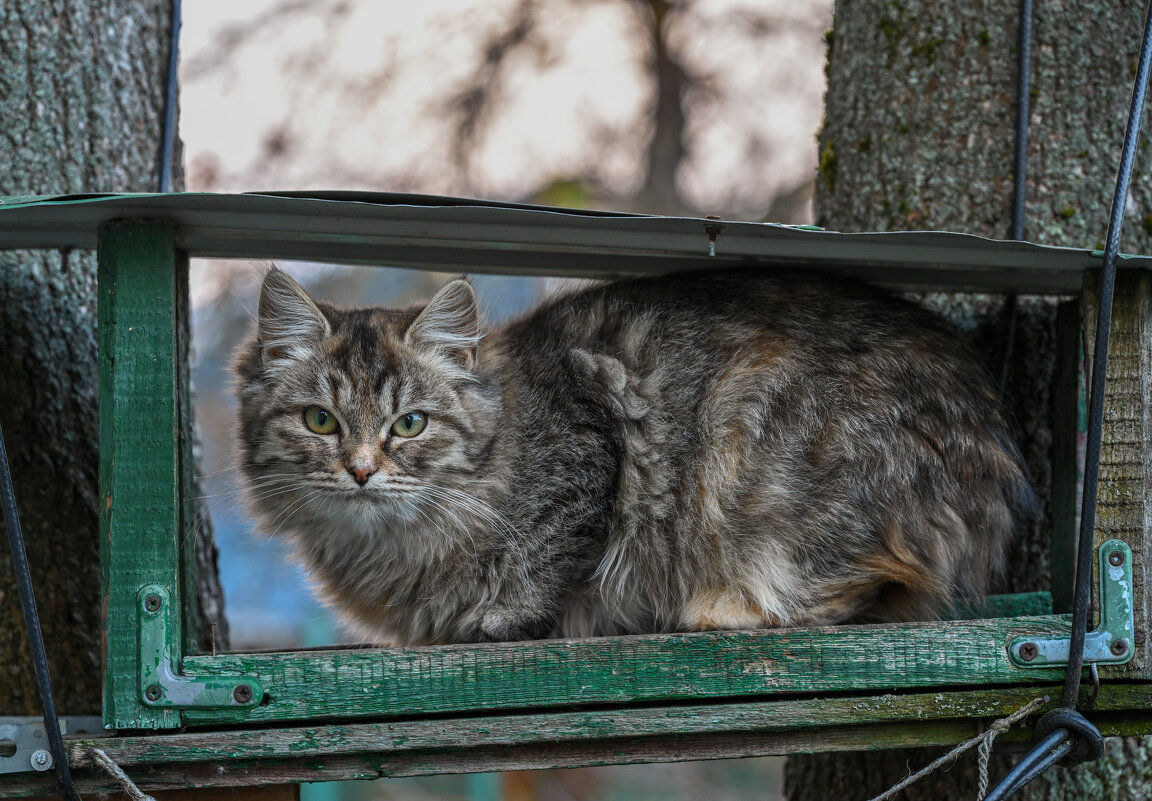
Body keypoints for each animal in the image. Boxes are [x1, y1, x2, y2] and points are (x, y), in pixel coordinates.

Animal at [236, 267, 1036, 645]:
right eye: (320, 420)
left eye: (409, 424)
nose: (361, 470)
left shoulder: (589, 457)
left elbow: (548, 560)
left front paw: (500, 617)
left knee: (864, 584)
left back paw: (725, 609)